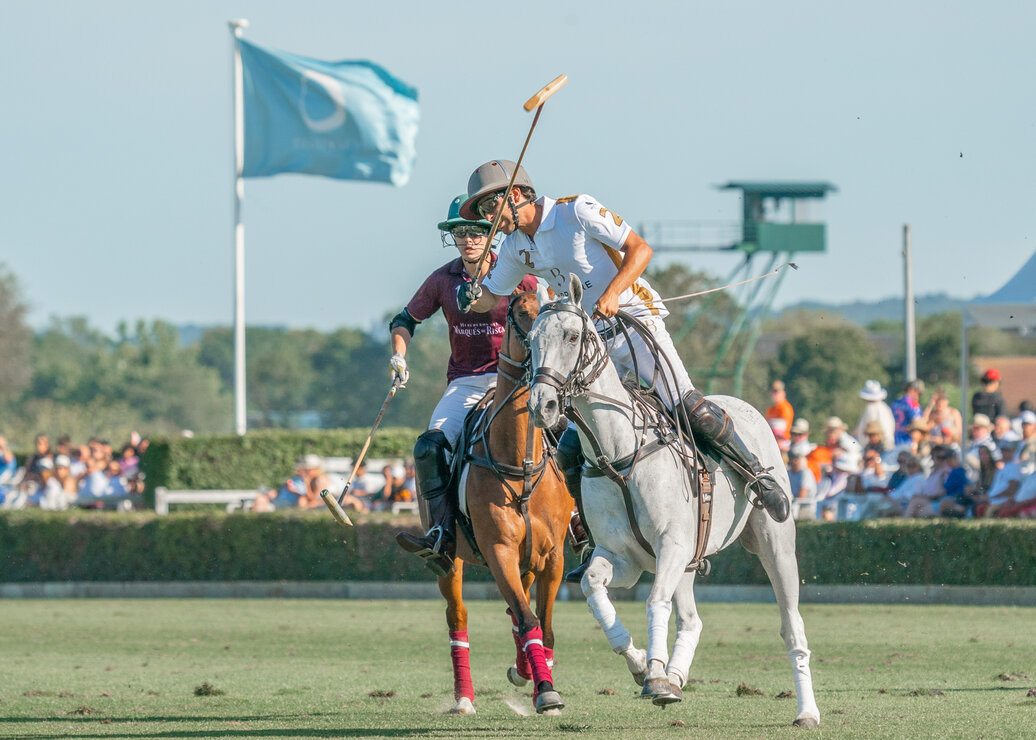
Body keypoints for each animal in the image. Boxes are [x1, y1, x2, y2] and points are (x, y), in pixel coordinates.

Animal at [428, 290, 576, 713]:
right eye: (521, 314)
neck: (519, 465)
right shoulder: (498, 549)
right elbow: (528, 620)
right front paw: (546, 691)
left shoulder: (552, 556)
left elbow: (542, 623)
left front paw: (536, 679)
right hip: (452, 560)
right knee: (458, 617)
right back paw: (464, 698)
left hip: (528, 561)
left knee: (517, 606)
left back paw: (522, 668)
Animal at [530, 277, 820, 725]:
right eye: (530, 340)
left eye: (573, 336)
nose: (541, 406)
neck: (621, 455)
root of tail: (747, 406)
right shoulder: (623, 556)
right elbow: (595, 587)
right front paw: (641, 664)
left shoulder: (671, 543)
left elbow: (655, 602)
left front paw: (656, 678)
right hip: (689, 557)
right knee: (691, 619)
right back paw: (677, 673)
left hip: (774, 544)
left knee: (792, 624)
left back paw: (806, 710)